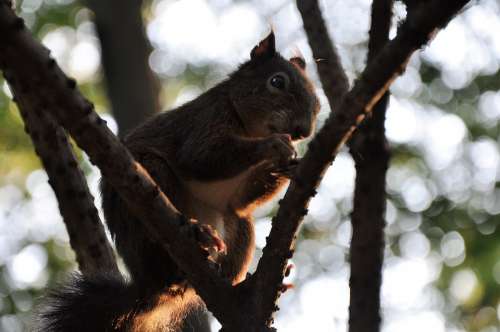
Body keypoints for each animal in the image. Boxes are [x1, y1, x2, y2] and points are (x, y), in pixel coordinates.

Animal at [37, 31, 320, 332]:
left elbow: (243, 199)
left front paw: (289, 165)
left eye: (318, 103)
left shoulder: (239, 198)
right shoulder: (205, 120)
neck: (251, 129)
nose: (303, 131)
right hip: (152, 185)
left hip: (240, 229)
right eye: (277, 82)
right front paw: (274, 146)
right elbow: (203, 157)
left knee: (237, 226)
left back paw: (240, 285)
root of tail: (148, 285)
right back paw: (197, 234)